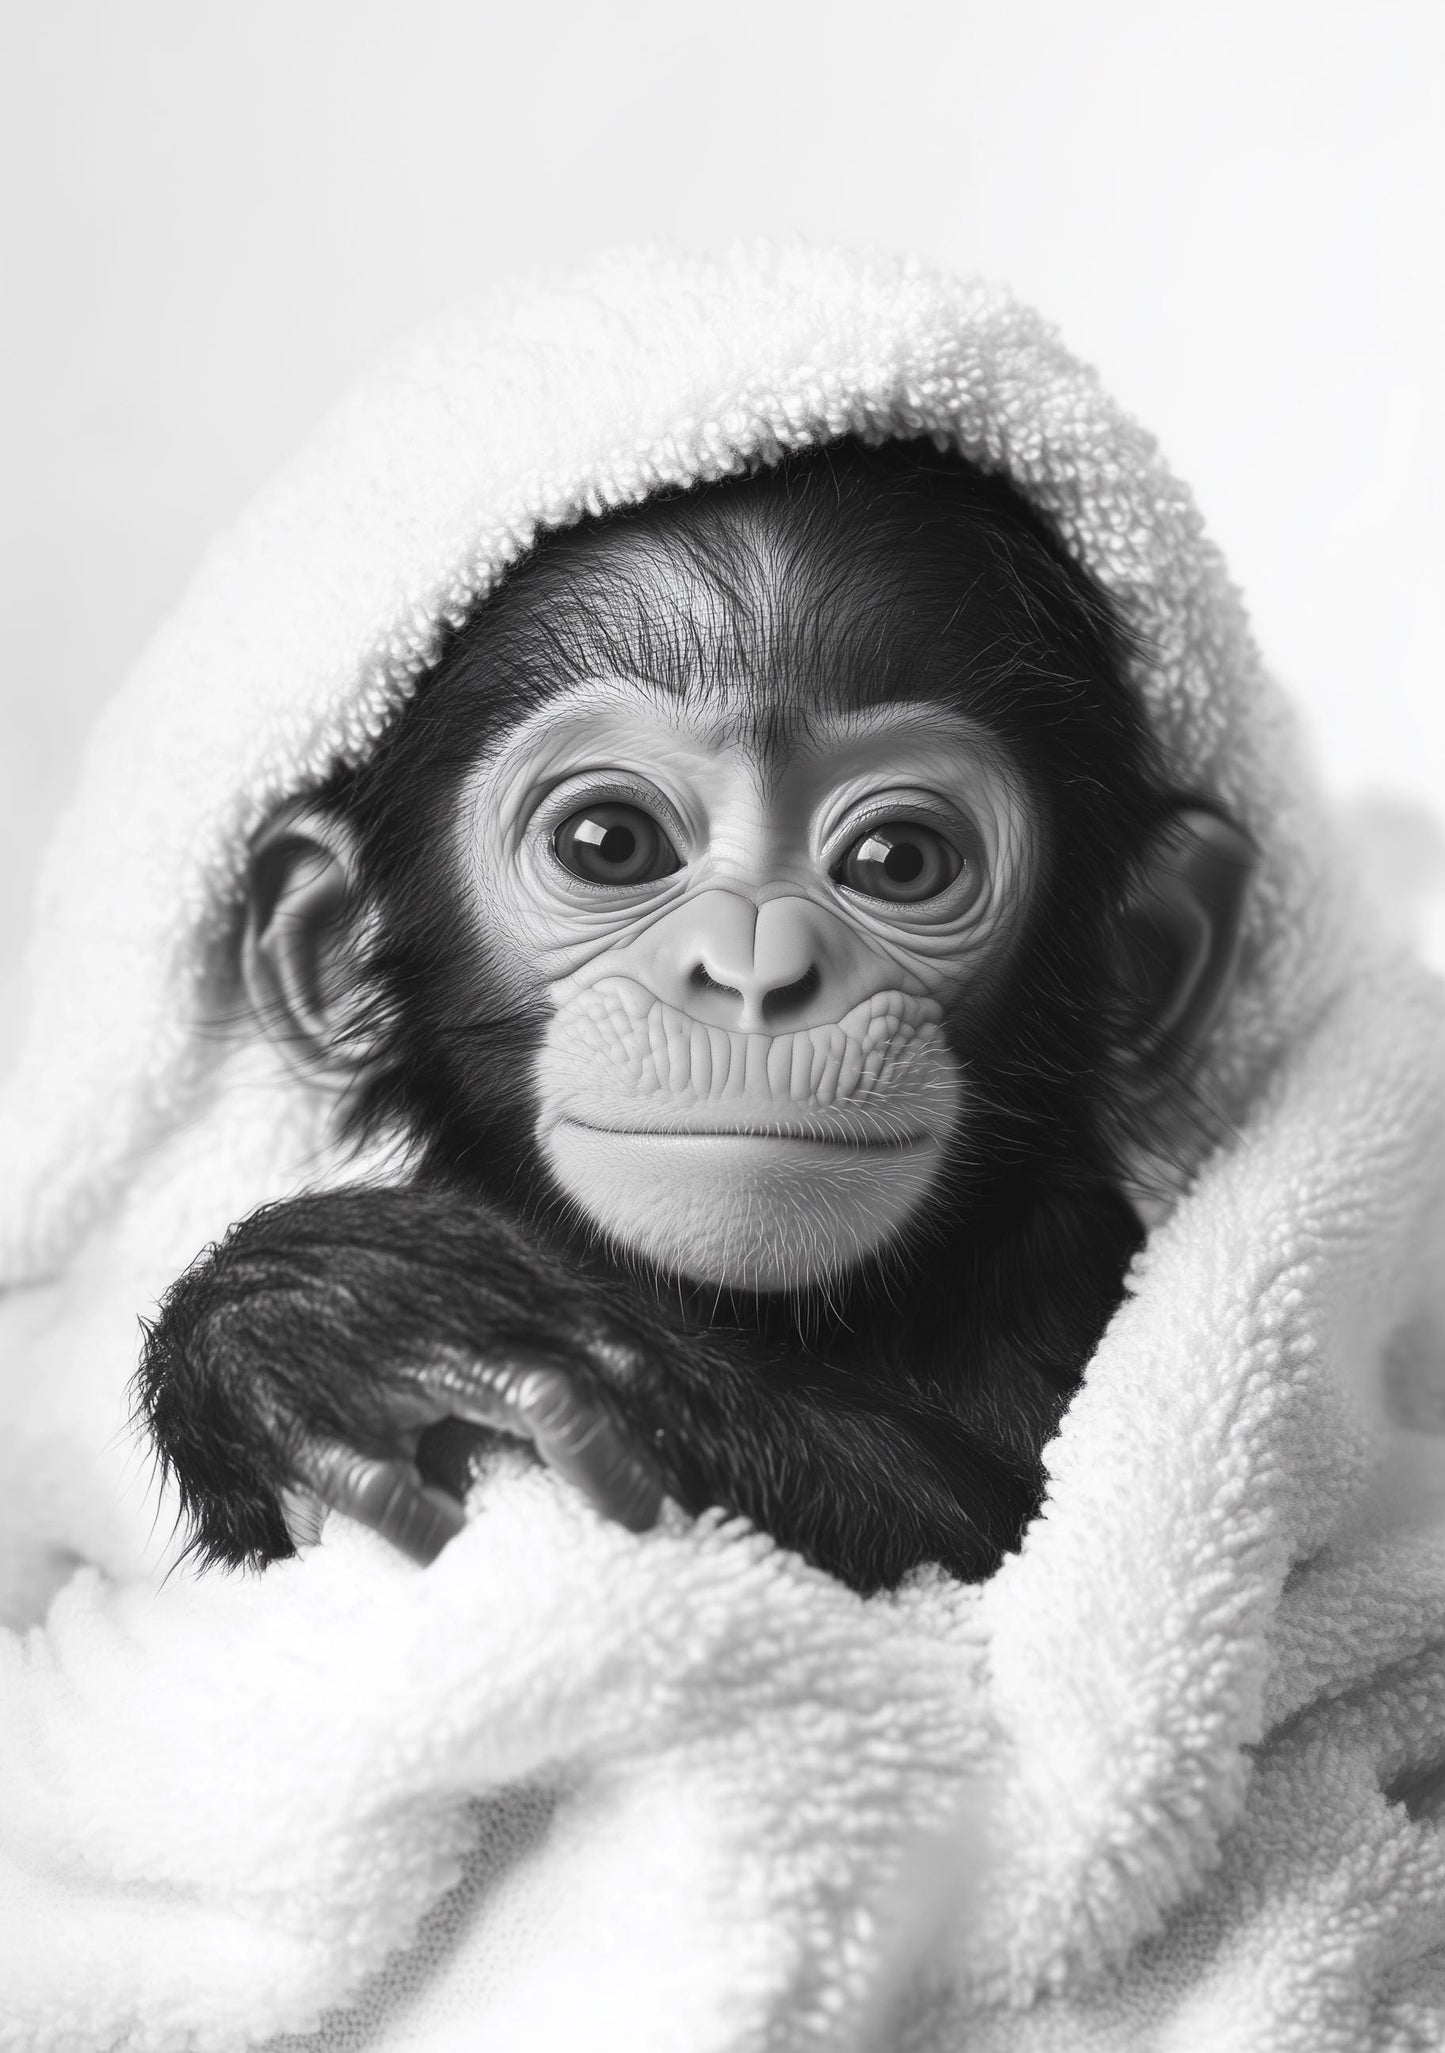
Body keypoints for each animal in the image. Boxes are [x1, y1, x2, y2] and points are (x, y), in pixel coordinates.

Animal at [136, 437, 1253, 1596]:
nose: (756, 969)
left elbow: (998, 1537)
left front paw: (342, 1315)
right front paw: (330, 1317)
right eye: (607, 842)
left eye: (898, 861)